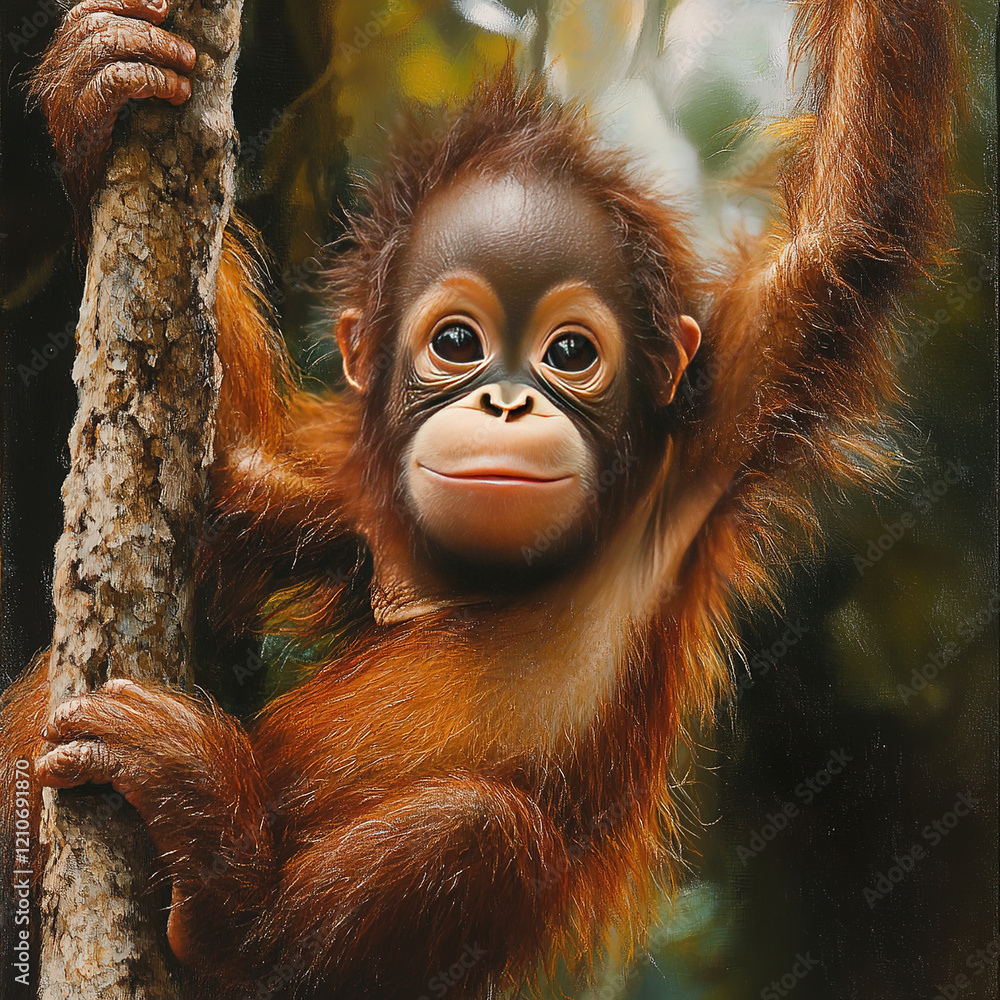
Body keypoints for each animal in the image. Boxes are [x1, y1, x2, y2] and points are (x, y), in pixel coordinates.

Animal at [0, 0, 958, 996]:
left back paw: (229, 900)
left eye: (570, 353)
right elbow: (213, 490)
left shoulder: (716, 424)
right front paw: (94, 89)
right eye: (457, 342)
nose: (505, 402)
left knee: (476, 830)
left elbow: (850, 232)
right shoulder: (348, 513)